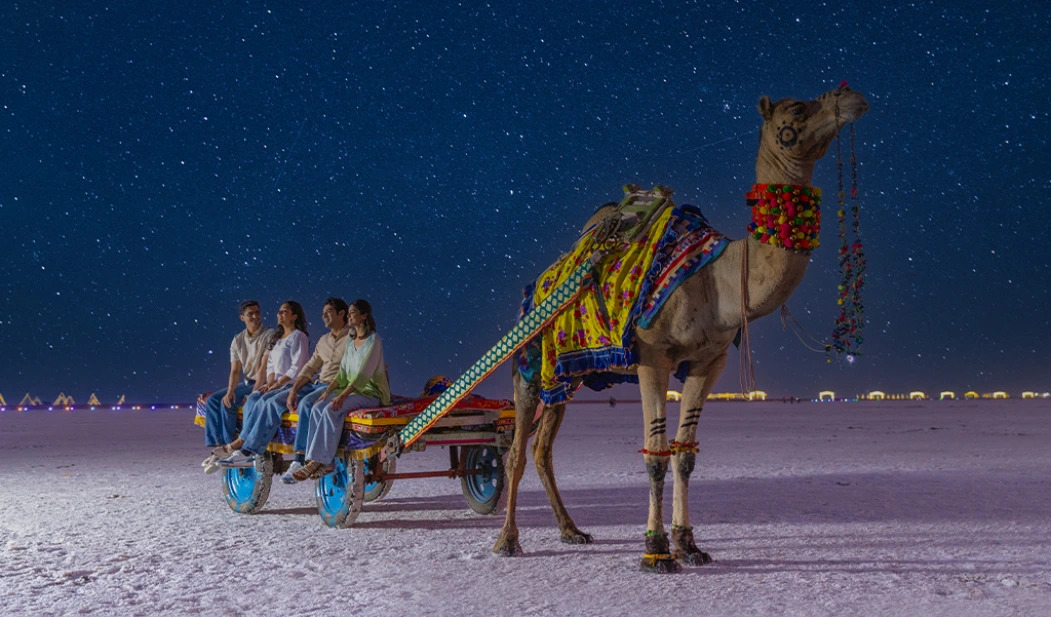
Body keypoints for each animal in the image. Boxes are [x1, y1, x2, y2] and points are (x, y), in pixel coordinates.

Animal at [493, 86, 870, 572]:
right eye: (797, 109)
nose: (851, 96)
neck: (719, 280)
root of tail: (538, 285)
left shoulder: (709, 360)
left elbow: (684, 454)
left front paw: (688, 545)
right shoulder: (652, 357)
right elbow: (655, 455)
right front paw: (655, 551)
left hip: (566, 375)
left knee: (542, 449)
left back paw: (571, 530)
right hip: (528, 361)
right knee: (515, 453)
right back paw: (507, 539)